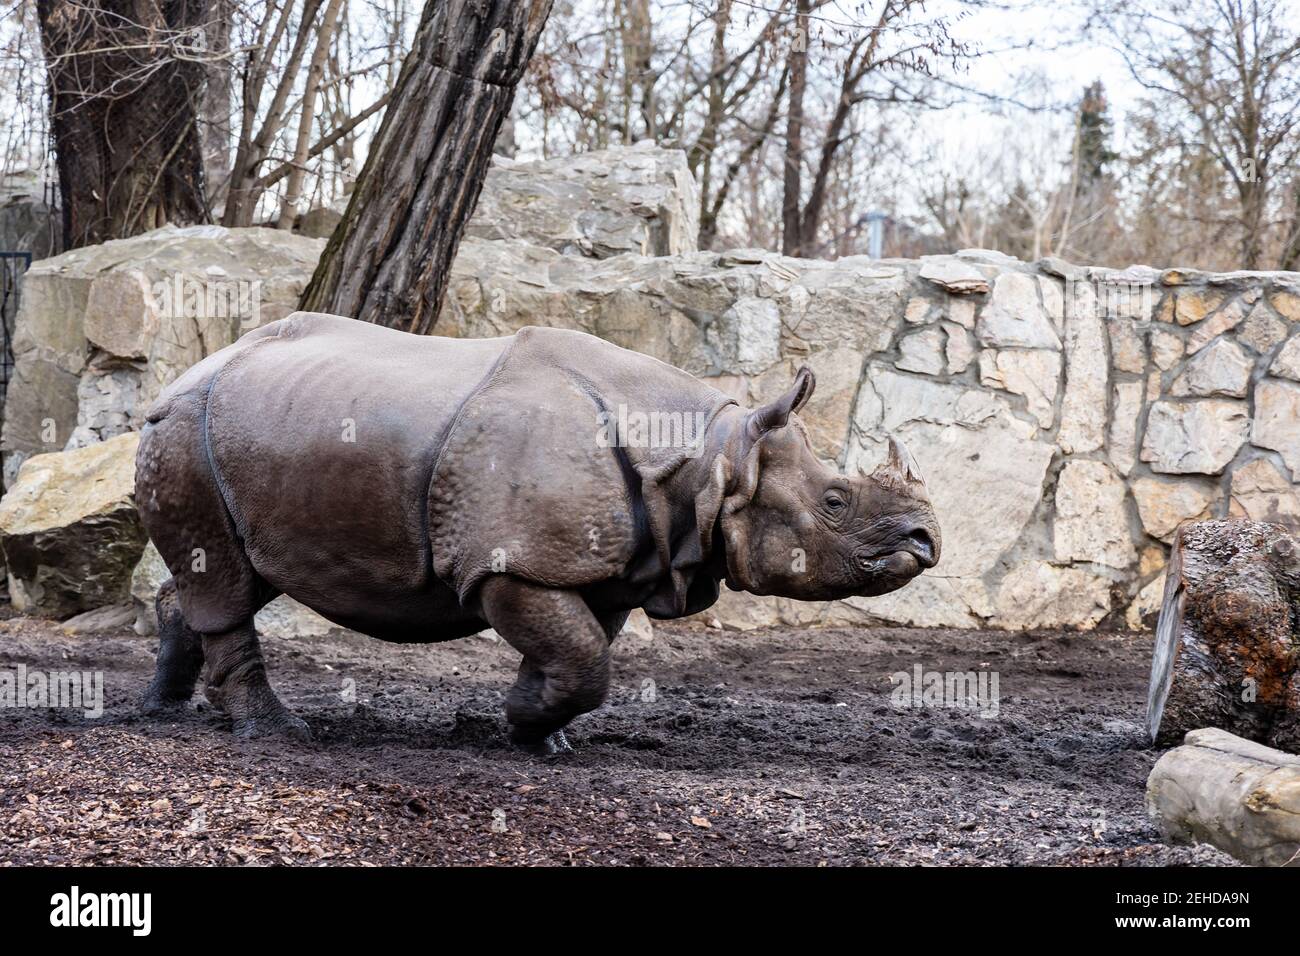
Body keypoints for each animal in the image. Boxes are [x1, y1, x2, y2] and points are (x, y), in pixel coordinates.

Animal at [136, 312, 940, 752]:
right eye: (835, 501)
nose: (926, 540)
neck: (712, 459)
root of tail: (180, 375)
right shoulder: (509, 561)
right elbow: (582, 656)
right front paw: (521, 722)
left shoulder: (612, 565)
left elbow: (580, 649)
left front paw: (538, 734)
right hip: (185, 429)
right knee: (227, 582)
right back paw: (276, 733)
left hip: (248, 433)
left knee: (233, 573)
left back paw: (165, 708)